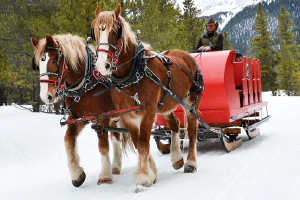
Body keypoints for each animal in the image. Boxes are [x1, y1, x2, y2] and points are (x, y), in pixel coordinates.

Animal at [30, 34, 129, 188]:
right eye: (38, 64)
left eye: (53, 61)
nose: (46, 97)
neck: (86, 83)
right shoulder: (77, 118)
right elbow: (68, 140)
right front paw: (77, 174)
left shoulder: (101, 118)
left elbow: (103, 146)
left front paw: (105, 176)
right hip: (116, 117)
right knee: (116, 138)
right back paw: (116, 166)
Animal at [91, 4, 204, 188]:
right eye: (95, 33)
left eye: (114, 32)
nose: (102, 65)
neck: (133, 74)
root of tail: (188, 56)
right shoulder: (128, 115)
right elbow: (138, 143)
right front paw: (152, 173)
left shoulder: (149, 112)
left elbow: (144, 143)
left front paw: (143, 177)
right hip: (166, 104)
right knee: (175, 124)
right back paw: (177, 159)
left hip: (191, 101)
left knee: (193, 130)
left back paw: (190, 163)